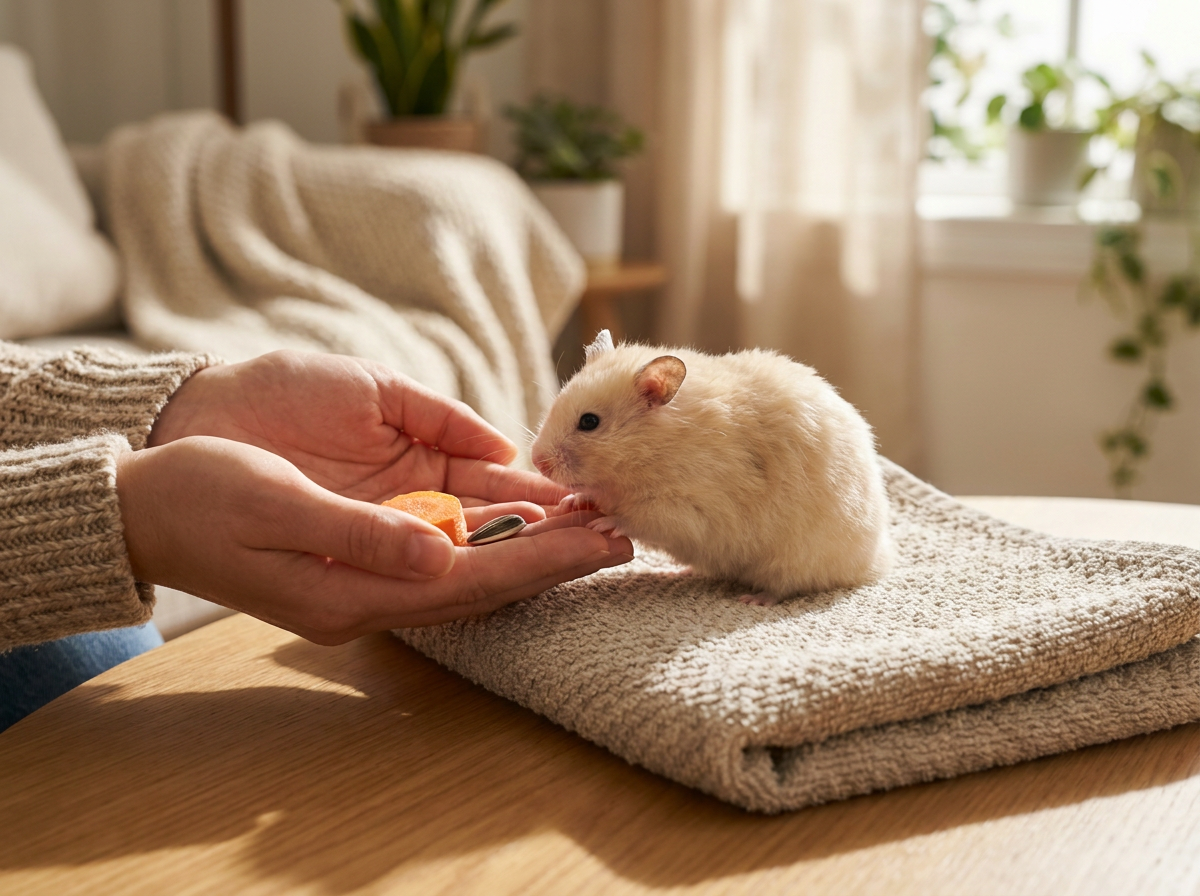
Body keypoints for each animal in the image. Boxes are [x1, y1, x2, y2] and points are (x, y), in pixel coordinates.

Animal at [530, 329, 893, 605]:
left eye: (589, 422)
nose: (537, 461)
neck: (650, 450)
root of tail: (872, 562)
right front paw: (572, 502)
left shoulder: (690, 509)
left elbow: (640, 518)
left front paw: (604, 522)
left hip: (796, 560)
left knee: (786, 587)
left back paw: (754, 600)